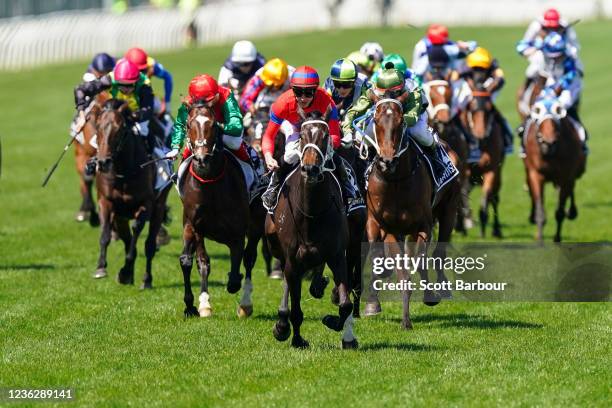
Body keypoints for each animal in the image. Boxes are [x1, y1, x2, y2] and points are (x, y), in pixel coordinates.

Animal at [89, 99, 170, 286]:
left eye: (120, 130)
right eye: (98, 127)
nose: (103, 162)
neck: (123, 173)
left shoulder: (146, 204)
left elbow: (136, 234)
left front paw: (125, 271)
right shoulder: (106, 201)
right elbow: (105, 234)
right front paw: (101, 267)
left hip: (158, 207)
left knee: (149, 245)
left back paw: (146, 279)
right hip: (121, 216)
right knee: (126, 238)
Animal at [177, 103, 262, 318]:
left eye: (213, 125)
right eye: (189, 125)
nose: (201, 159)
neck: (210, 184)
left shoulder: (238, 232)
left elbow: (236, 269)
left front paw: (235, 285)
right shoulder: (196, 227)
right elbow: (201, 262)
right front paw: (202, 304)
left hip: (256, 225)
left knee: (249, 258)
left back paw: (245, 304)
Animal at [264, 110, 358, 350]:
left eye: (324, 136)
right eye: (302, 136)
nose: (310, 168)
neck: (311, 212)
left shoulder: (337, 255)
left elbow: (345, 305)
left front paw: (333, 322)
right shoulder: (292, 259)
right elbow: (296, 309)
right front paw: (294, 337)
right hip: (276, 246)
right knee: (288, 282)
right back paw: (282, 322)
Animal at [364, 96, 460, 332]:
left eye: (401, 122)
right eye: (376, 121)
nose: (387, 161)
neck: (396, 181)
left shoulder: (423, 226)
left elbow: (422, 261)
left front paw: (429, 297)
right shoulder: (388, 227)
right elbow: (400, 270)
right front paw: (404, 319)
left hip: (449, 210)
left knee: (438, 254)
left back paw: (442, 288)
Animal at [524, 91, 584, 241]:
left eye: (558, 111)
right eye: (537, 111)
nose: (548, 143)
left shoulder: (566, 177)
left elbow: (560, 211)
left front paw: (557, 238)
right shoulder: (536, 174)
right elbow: (540, 210)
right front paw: (539, 238)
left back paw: (572, 211)